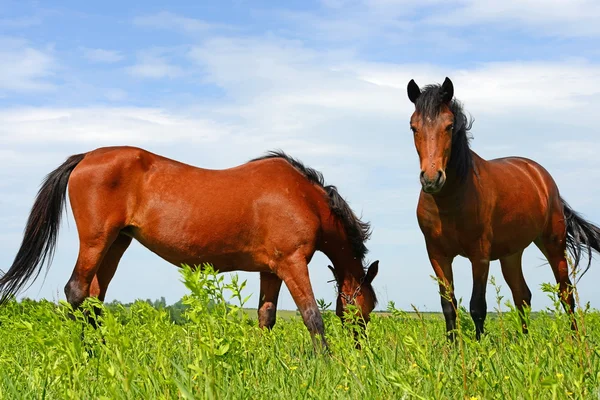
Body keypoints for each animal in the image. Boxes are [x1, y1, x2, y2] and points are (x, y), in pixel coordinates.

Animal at [0, 147, 378, 346]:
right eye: (366, 307)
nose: (360, 348)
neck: (304, 197)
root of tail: (85, 157)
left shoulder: (271, 270)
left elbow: (266, 318)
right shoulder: (292, 263)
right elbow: (313, 317)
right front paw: (326, 363)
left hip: (116, 244)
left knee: (94, 299)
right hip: (96, 241)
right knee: (76, 291)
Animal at [406, 79, 600, 340]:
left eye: (449, 126)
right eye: (413, 127)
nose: (431, 178)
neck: (450, 200)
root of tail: (539, 175)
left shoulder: (479, 255)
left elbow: (477, 306)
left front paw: (479, 347)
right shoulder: (437, 256)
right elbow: (448, 305)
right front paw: (452, 348)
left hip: (553, 243)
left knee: (565, 293)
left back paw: (576, 340)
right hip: (511, 254)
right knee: (522, 295)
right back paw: (526, 342)